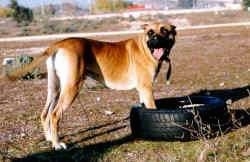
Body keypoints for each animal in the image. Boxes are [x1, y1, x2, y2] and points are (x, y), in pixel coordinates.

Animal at [3, 22, 176, 150]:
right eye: (150, 32)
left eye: (165, 30)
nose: (155, 40)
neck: (146, 48)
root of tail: (59, 43)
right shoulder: (147, 89)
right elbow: (152, 110)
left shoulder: (142, 90)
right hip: (72, 87)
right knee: (55, 115)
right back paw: (57, 144)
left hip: (55, 89)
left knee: (45, 114)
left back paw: (50, 139)